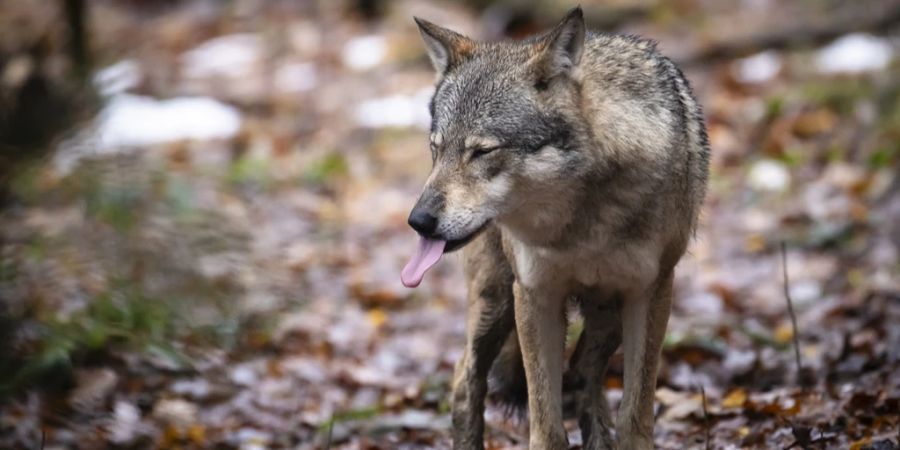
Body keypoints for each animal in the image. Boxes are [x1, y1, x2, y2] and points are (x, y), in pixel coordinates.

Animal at [402, 7, 712, 450]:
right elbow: (546, 426)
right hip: (497, 301)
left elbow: (635, 418)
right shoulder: (535, 295)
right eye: (436, 148)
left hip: (606, 314)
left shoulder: (650, 292)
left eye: (482, 151)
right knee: (465, 380)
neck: (581, 226)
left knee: (583, 374)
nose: (419, 221)